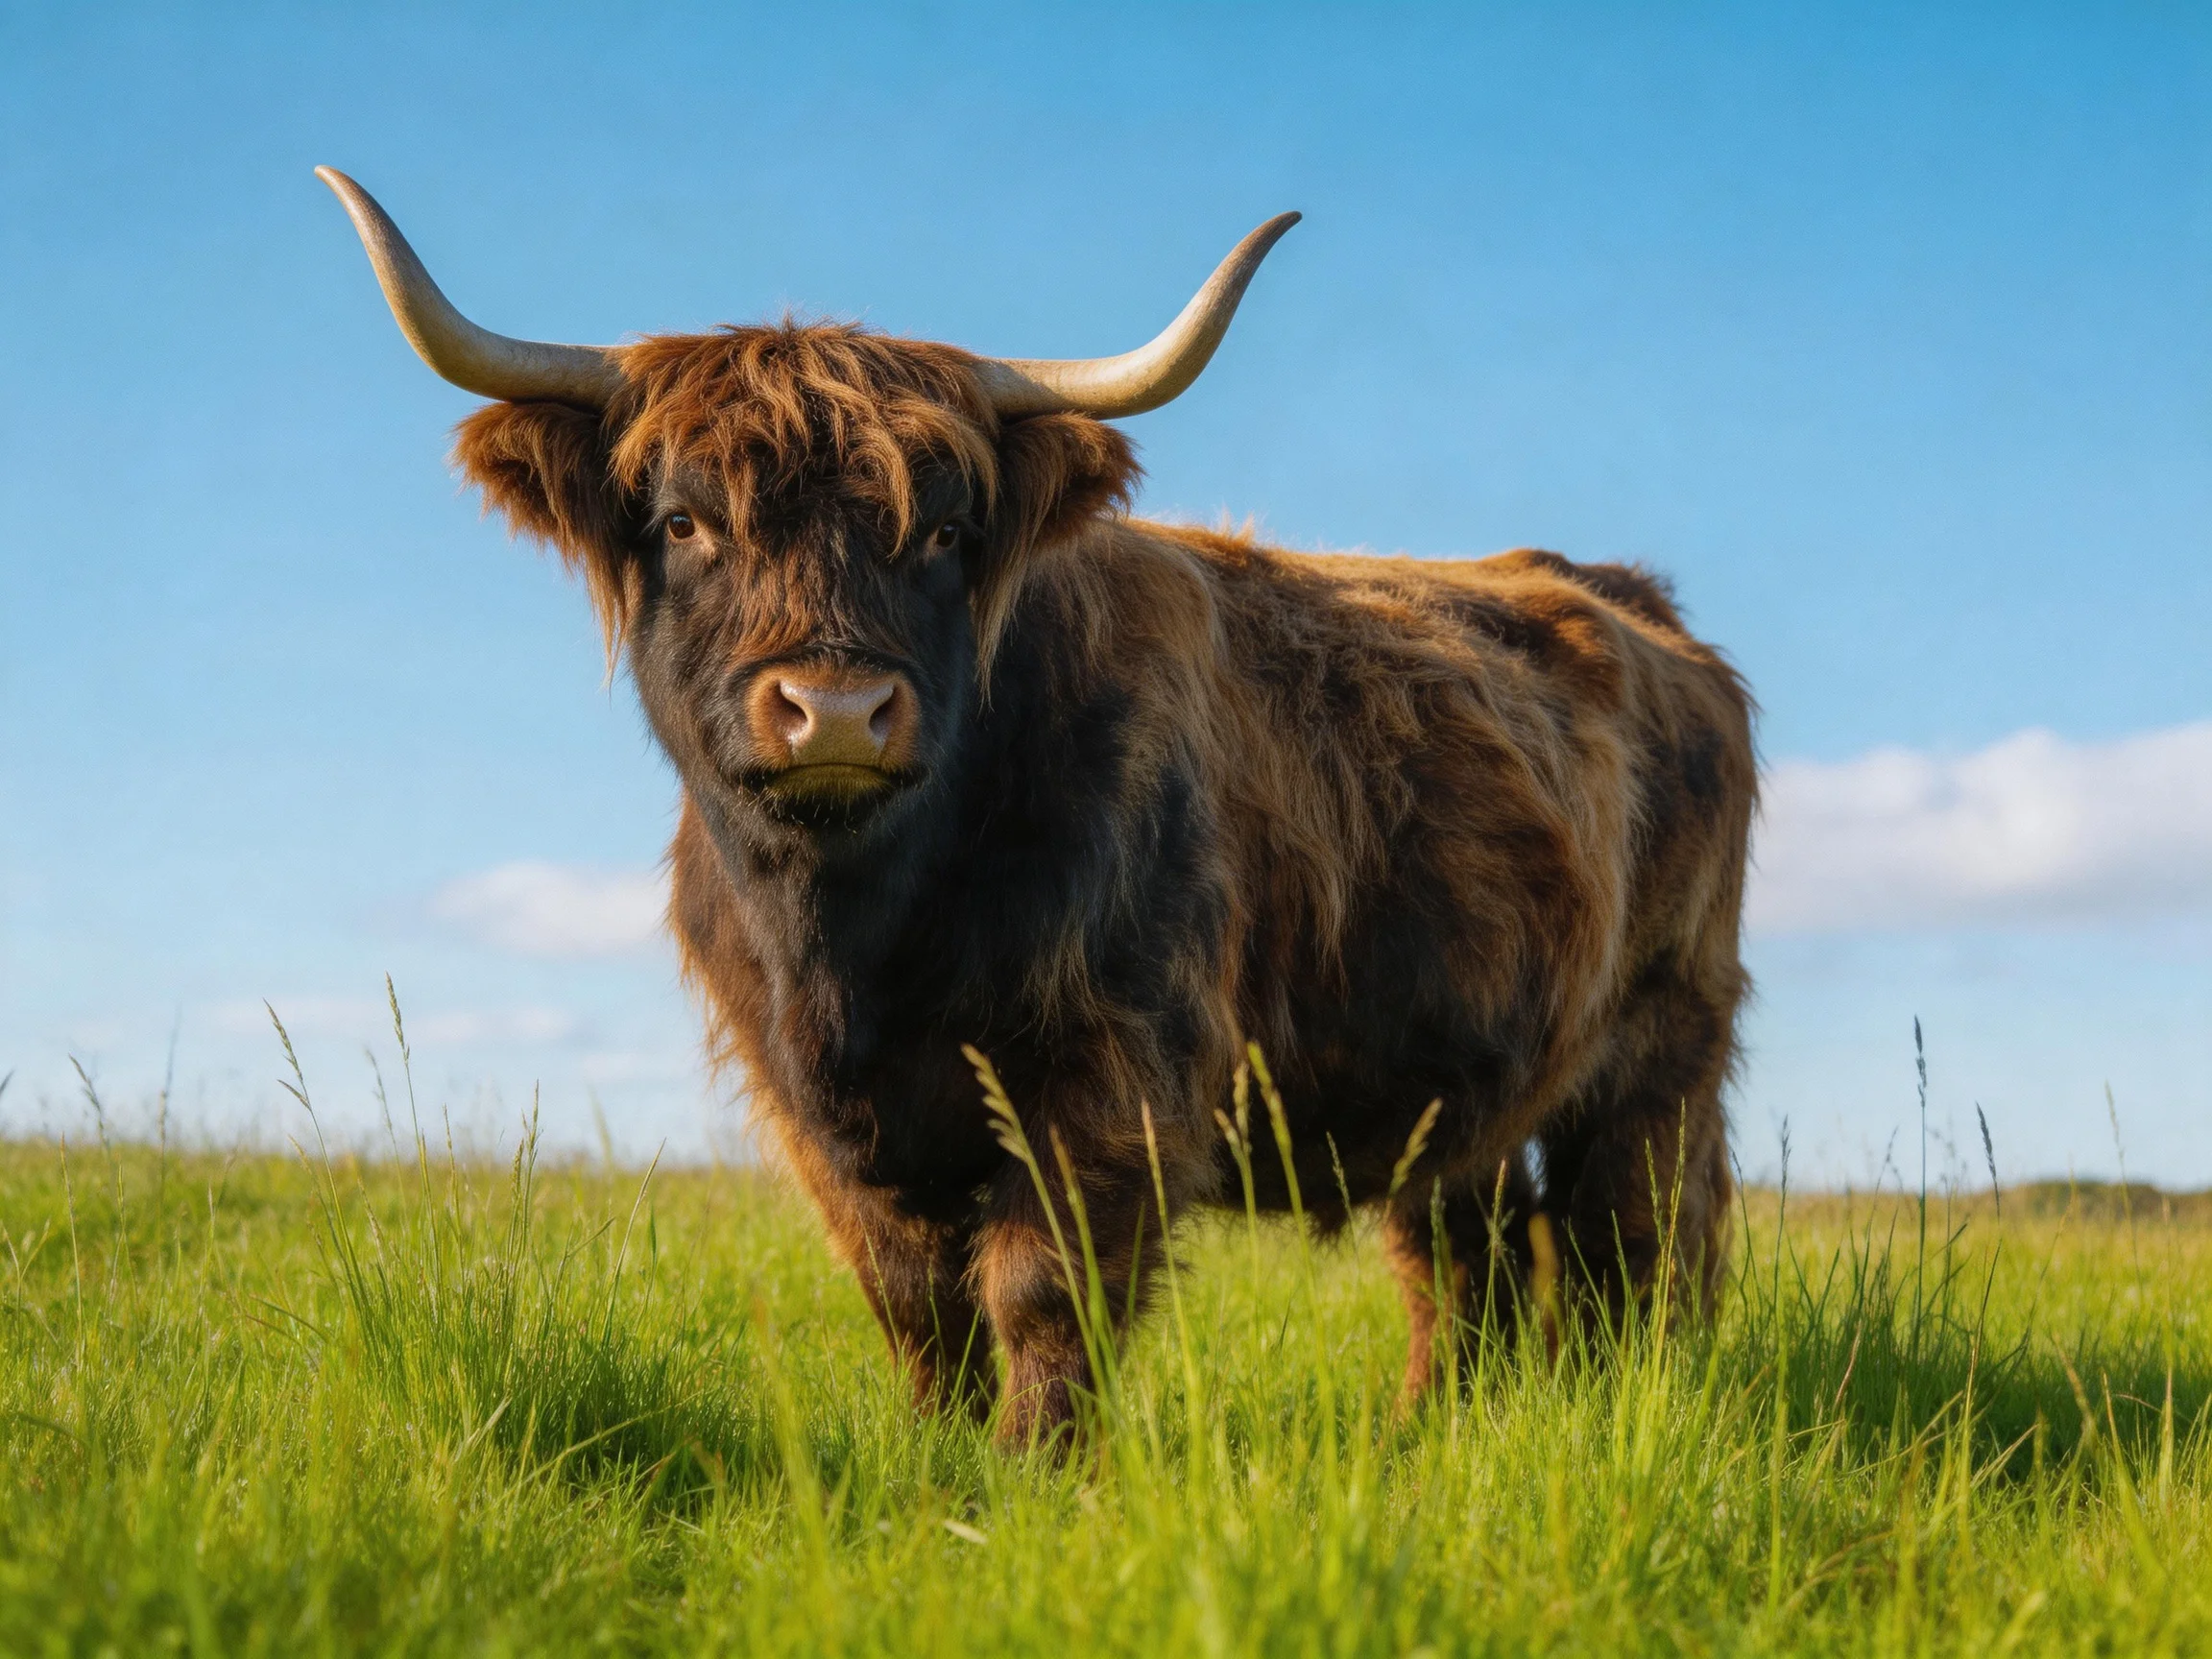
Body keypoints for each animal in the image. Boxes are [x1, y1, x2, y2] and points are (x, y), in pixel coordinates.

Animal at [320, 168, 1756, 1446]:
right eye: (682, 524)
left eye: (947, 533)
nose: (836, 710)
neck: (852, 938)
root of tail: (1634, 602)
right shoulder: (816, 1113)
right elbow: (913, 1303)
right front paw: (936, 1460)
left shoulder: (1112, 1070)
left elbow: (1039, 1289)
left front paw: (1030, 1476)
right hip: (1447, 1077)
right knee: (1467, 1256)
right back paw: (1423, 1437)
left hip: (1665, 1039)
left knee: (1640, 1241)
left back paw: (1633, 1415)